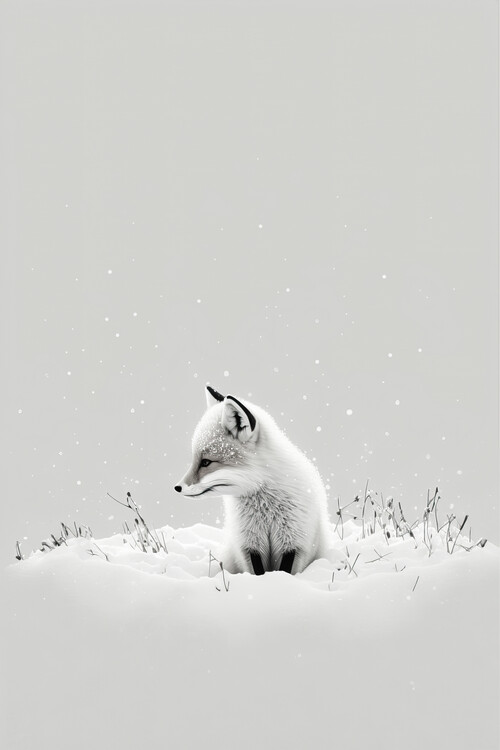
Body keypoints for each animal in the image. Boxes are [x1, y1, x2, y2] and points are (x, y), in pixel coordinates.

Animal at [174, 385, 331, 575]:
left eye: (206, 462)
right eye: (195, 460)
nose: (177, 487)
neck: (266, 509)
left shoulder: (294, 541)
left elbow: (284, 571)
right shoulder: (249, 544)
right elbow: (257, 572)